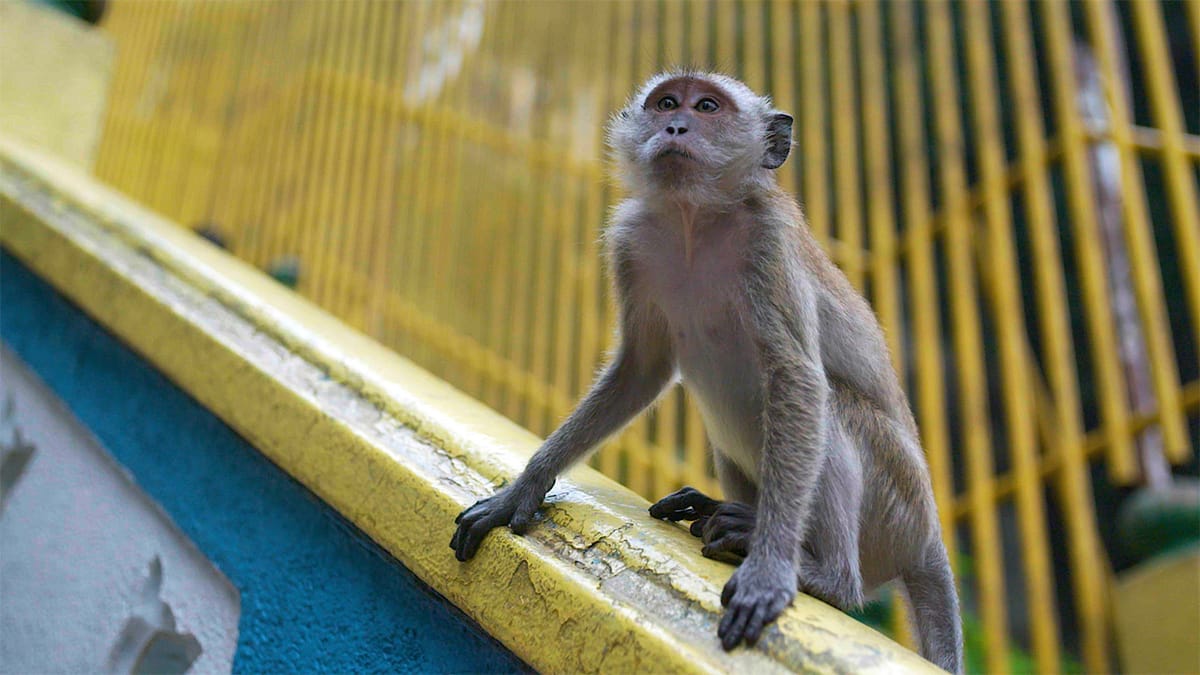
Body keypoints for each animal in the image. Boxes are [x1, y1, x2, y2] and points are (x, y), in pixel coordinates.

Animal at [451, 68, 964, 667]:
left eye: (708, 107)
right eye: (667, 103)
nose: (676, 125)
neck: (693, 219)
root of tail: (929, 539)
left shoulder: (769, 243)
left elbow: (798, 379)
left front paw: (770, 569)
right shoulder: (629, 240)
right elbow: (638, 369)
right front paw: (523, 490)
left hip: (895, 503)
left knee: (833, 408)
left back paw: (825, 575)